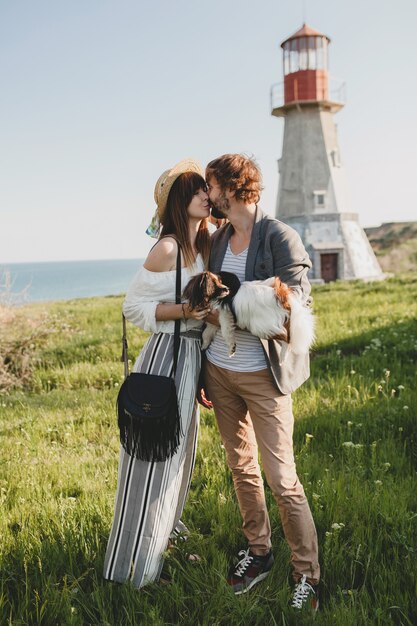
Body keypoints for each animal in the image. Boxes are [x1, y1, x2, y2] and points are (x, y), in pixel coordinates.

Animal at [184, 270, 314, 356]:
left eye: (221, 282)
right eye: (214, 285)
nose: (227, 289)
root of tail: (281, 295)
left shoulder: (225, 315)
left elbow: (226, 333)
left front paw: (232, 348)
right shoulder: (214, 322)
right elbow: (206, 333)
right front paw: (204, 346)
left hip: (261, 327)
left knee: (285, 336)